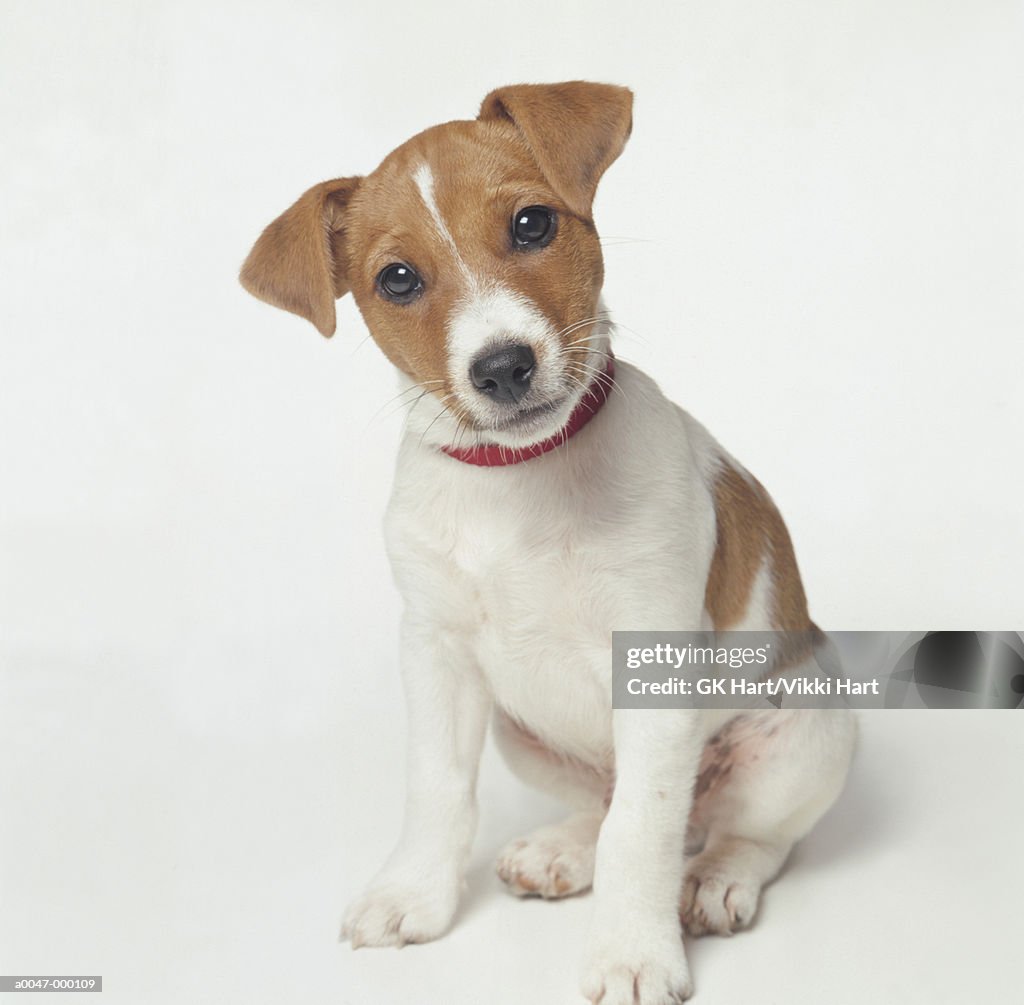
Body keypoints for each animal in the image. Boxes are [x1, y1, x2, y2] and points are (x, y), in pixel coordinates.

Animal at [239, 80, 856, 1003]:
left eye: (532, 224)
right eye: (397, 279)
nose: (502, 366)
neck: (519, 478)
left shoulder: (650, 660)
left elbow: (642, 827)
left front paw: (633, 953)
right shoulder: (435, 650)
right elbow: (437, 787)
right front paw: (413, 893)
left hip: (810, 731)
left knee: (740, 832)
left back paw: (712, 879)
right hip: (521, 733)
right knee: (607, 804)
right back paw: (563, 849)